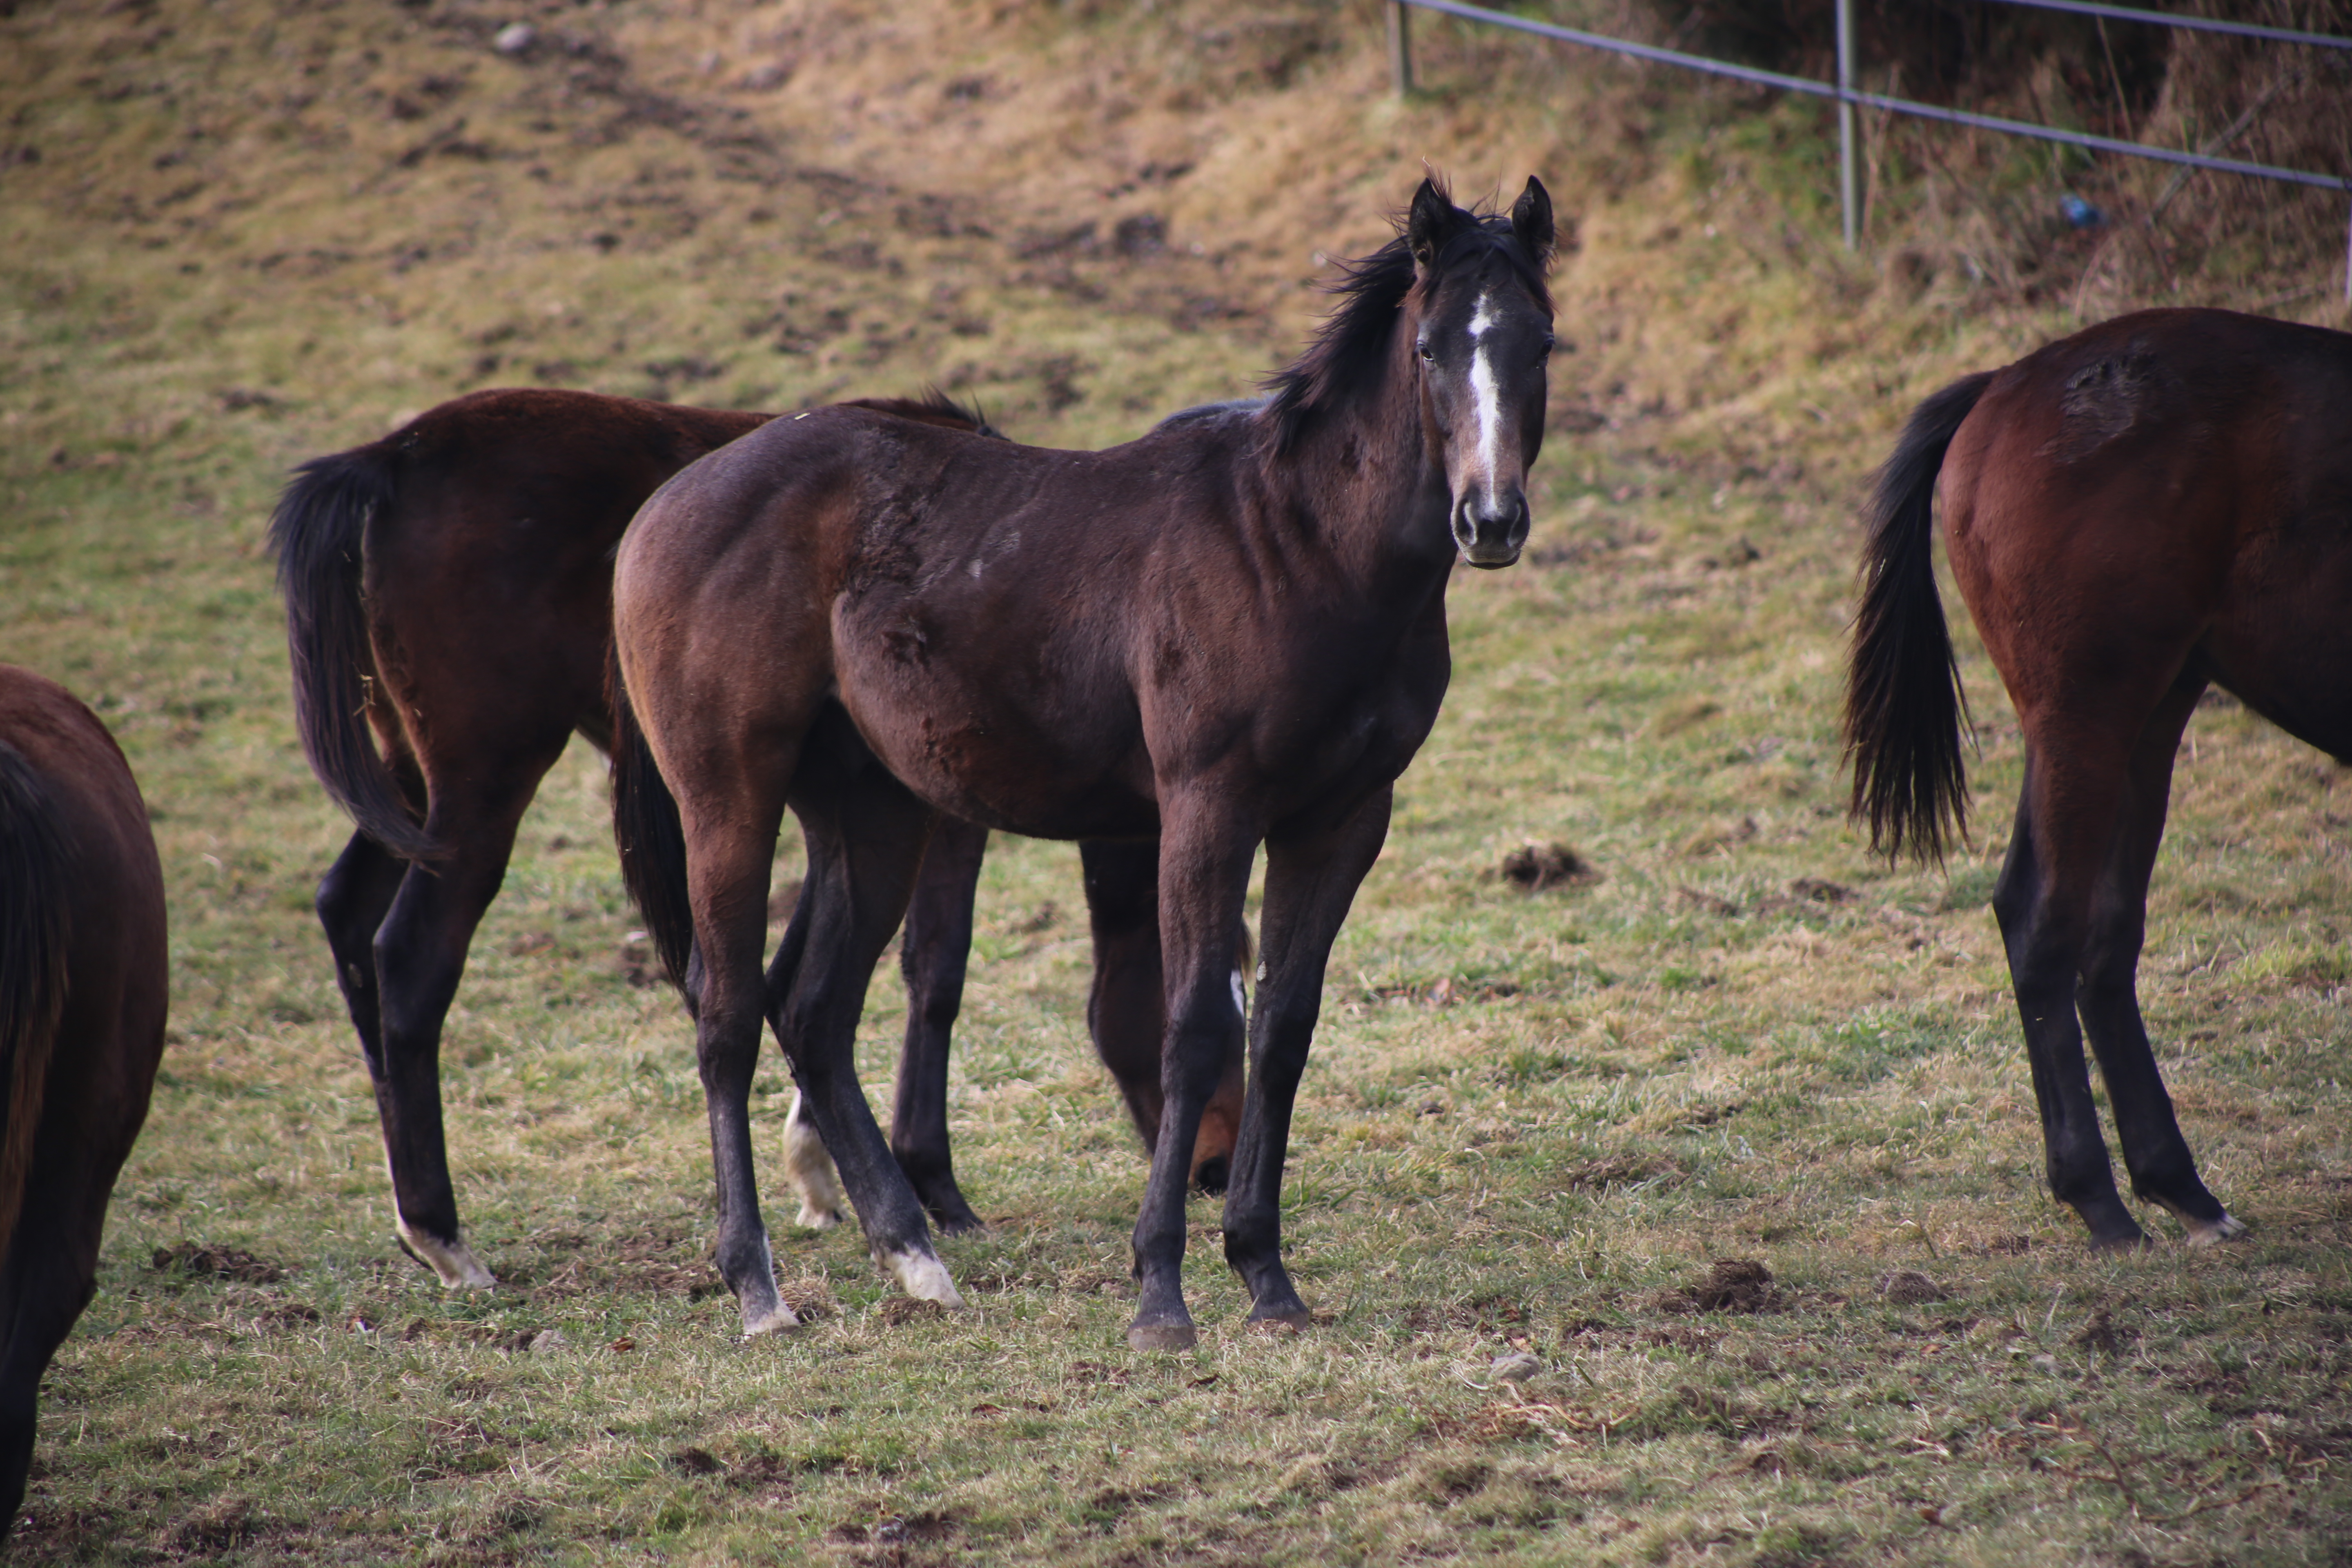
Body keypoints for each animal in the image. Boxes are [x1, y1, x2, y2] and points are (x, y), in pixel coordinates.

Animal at [267, 390, 1242, 1288]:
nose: (1219, 1171)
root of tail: (389, 458)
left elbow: (794, 974)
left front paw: (827, 1170)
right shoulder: (945, 815)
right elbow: (933, 975)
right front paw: (928, 1188)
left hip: (409, 787)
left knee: (347, 914)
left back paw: (408, 1204)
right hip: (484, 788)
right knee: (411, 958)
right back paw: (443, 1232)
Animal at [611, 177, 1561, 1345]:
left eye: (1539, 342)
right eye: (1429, 349)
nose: (1490, 519)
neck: (1300, 548)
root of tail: (660, 508)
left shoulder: (1341, 819)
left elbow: (1283, 1029)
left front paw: (1267, 1277)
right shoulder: (1205, 806)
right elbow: (1193, 1026)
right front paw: (1161, 1290)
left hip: (873, 811)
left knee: (815, 1010)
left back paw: (914, 1255)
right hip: (728, 797)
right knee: (729, 1015)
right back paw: (758, 1285)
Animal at [1844, 310, 2342, 1250]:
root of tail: (2003, 383)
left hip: (2135, 712)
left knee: (2096, 931)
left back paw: (2176, 1186)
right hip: (2093, 708)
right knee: (2047, 924)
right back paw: (2101, 1199)